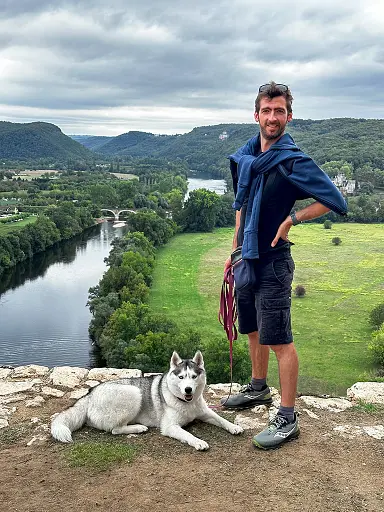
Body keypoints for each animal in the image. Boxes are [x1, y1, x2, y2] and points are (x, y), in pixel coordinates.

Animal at [51, 350, 243, 450]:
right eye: (181, 377)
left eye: (194, 376)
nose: (188, 389)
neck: (186, 403)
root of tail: (89, 394)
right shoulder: (170, 427)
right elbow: (188, 434)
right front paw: (198, 441)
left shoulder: (205, 412)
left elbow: (221, 419)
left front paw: (233, 427)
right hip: (134, 393)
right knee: (115, 430)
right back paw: (138, 427)